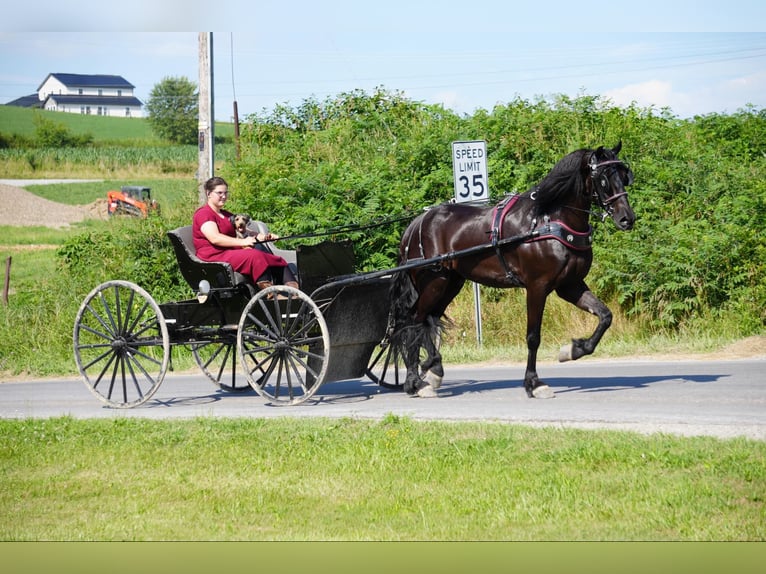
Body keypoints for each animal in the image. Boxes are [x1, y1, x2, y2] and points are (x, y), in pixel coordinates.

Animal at [387, 142, 635, 399]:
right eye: (604, 178)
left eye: (624, 176)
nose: (627, 218)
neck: (549, 222)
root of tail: (415, 224)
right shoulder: (537, 287)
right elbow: (533, 337)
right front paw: (534, 383)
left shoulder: (570, 286)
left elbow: (605, 315)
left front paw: (574, 350)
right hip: (435, 283)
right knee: (414, 321)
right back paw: (416, 381)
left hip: (450, 283)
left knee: (426, 320)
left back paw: (429, 373)